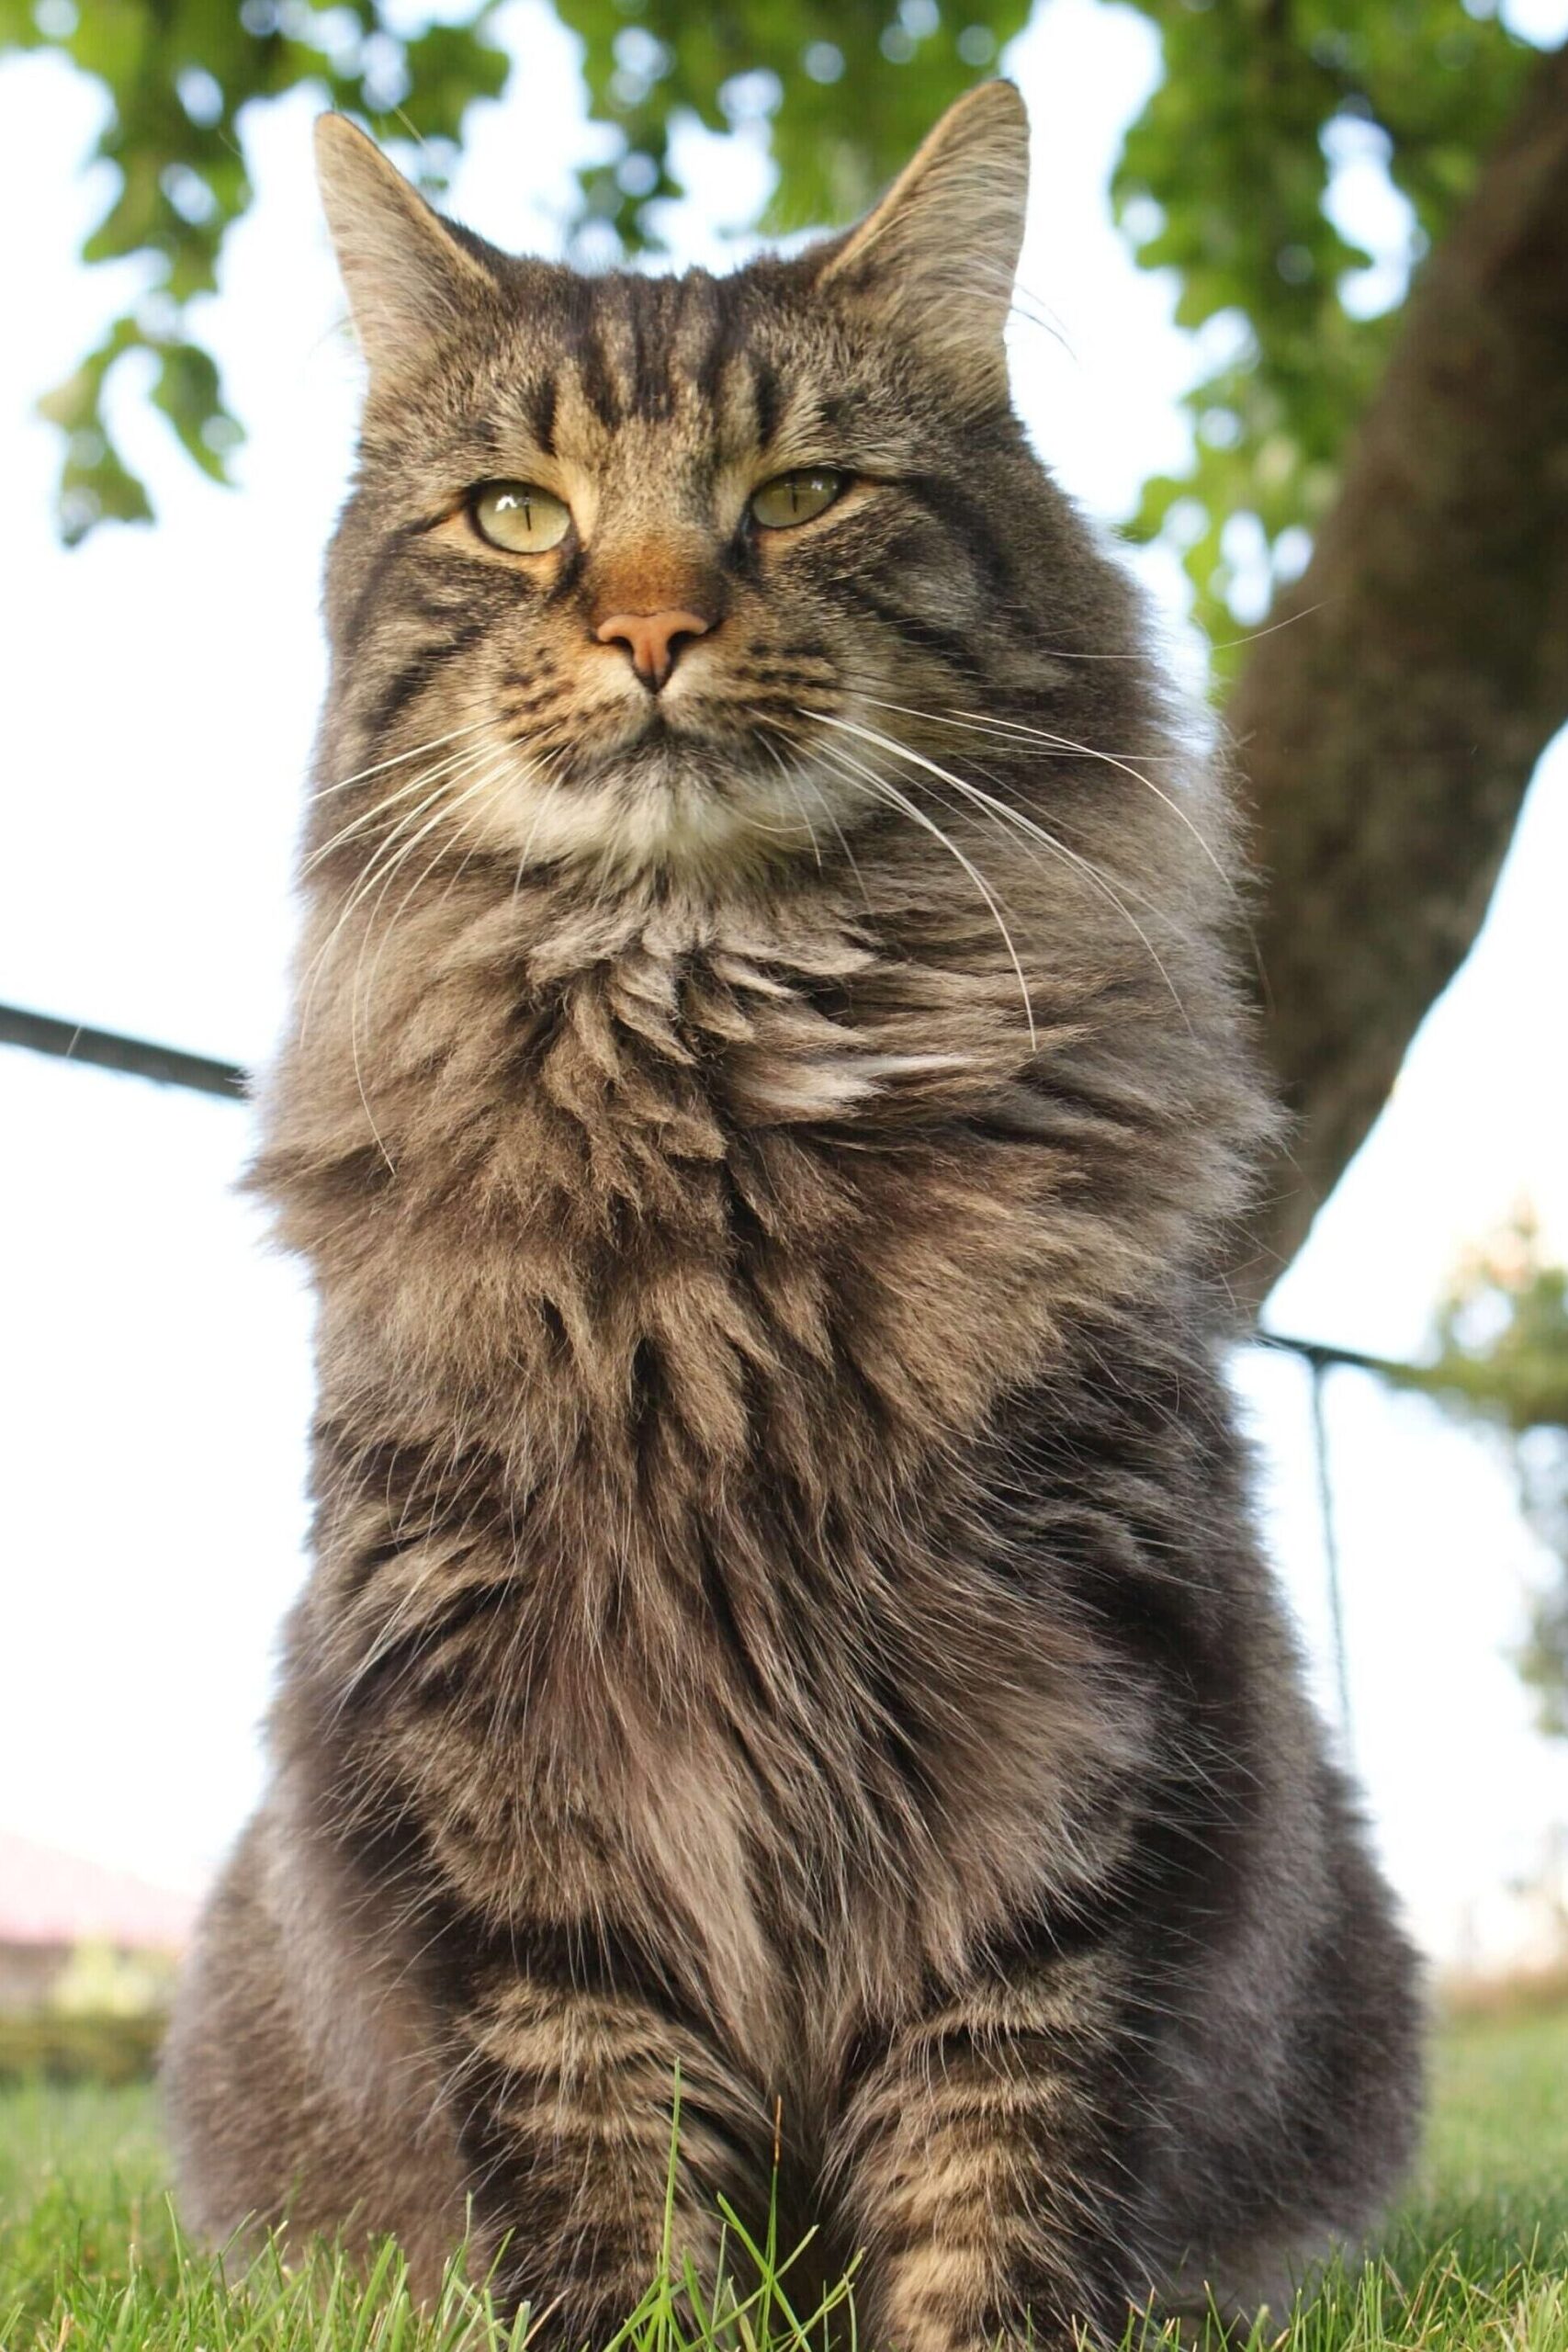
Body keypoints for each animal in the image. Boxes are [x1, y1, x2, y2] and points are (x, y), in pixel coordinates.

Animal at [165, 78, 1429, 2352]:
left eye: (802, 492)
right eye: (515, 514)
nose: (651, 628)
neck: (725, 1120)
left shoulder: (1070, 1702)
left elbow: (993, 2144)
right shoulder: (509, 1758)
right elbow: (602, 2157)